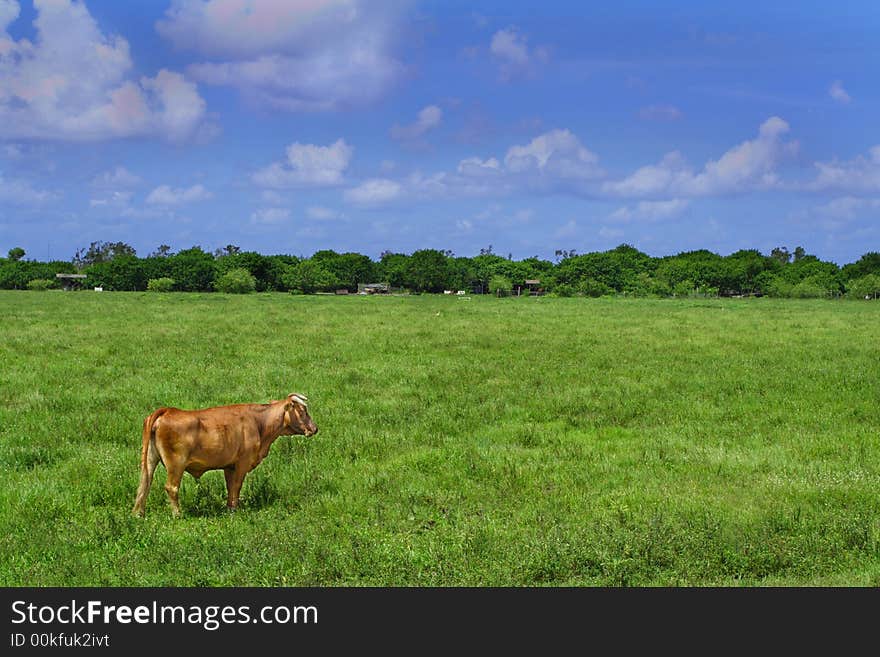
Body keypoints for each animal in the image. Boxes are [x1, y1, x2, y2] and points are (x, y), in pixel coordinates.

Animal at [132, 392, 318, 516]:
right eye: (303, 411)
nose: (315, 429)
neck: (258, 423)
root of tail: (167, 411)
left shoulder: (229, 466)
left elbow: (230, 487)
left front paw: (229, 508)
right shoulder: (242, 463)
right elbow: (237, 486)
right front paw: (235, 509)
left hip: (149, 459)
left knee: (144, 484)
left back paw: (138, 514)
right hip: (176, 465)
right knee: (171, 487)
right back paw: (178, 514)